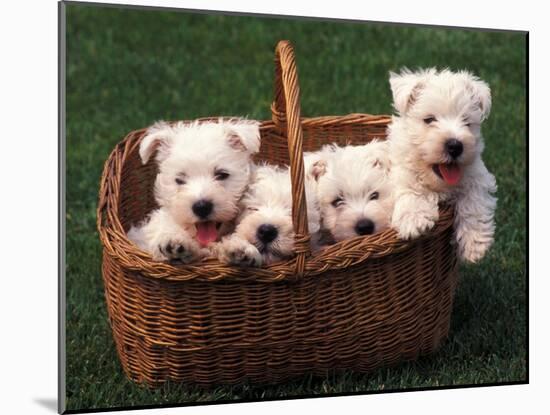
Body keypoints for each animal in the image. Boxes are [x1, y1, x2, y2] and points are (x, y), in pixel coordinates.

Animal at [388, 68, 500, 264]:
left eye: (466, 122)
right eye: (429, 119)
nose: (455, 146)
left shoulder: (476, 175)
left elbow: (473, 202)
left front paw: (474, 245)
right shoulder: (402, 171)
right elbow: (411, 189)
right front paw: (414, 220)